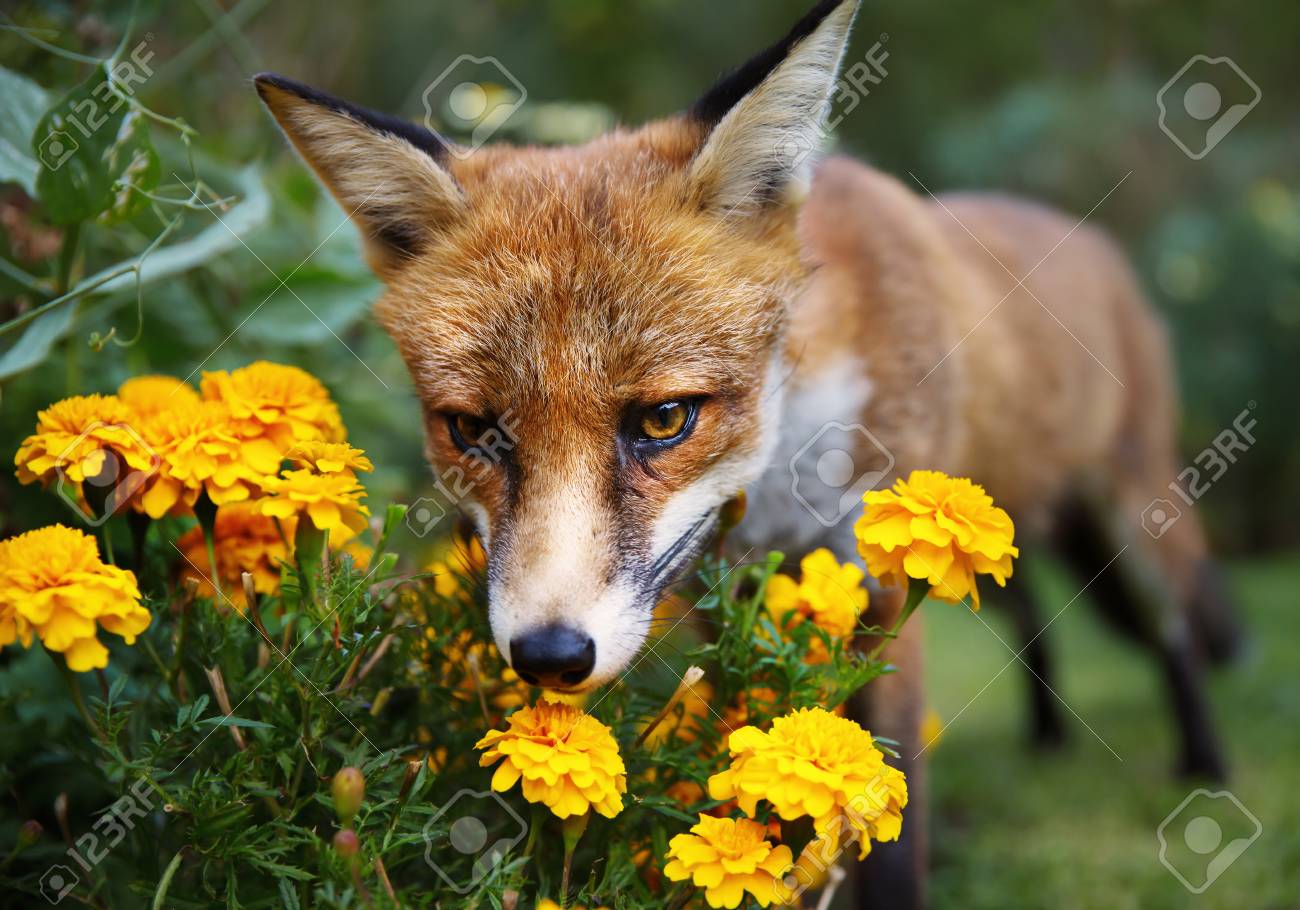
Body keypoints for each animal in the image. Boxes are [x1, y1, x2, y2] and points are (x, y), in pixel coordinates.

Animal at [255, 0, 1240, 904]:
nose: (549, 657)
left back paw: (1204, 763)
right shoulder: (707, 600)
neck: (783, 469)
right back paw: (1047, 734)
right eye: (474, 430)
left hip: (1129, 515)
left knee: (1178, 629)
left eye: (663, 420)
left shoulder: (884, 582)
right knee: (1035, 612)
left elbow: (887, 825)